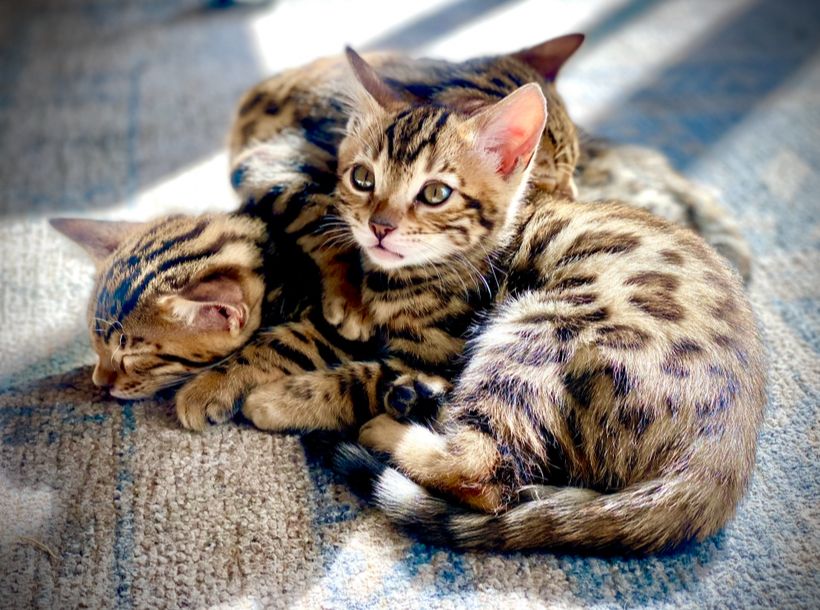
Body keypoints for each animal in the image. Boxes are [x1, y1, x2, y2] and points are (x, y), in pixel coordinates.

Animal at [293, 51, 763, 554]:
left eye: (436, 193)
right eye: (362, 178)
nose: (379, 227)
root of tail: (723, 457)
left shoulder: (437, 346)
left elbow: (357, 374)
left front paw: (284, 398)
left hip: (538, 327)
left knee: (484, 470)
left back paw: (387, 427)